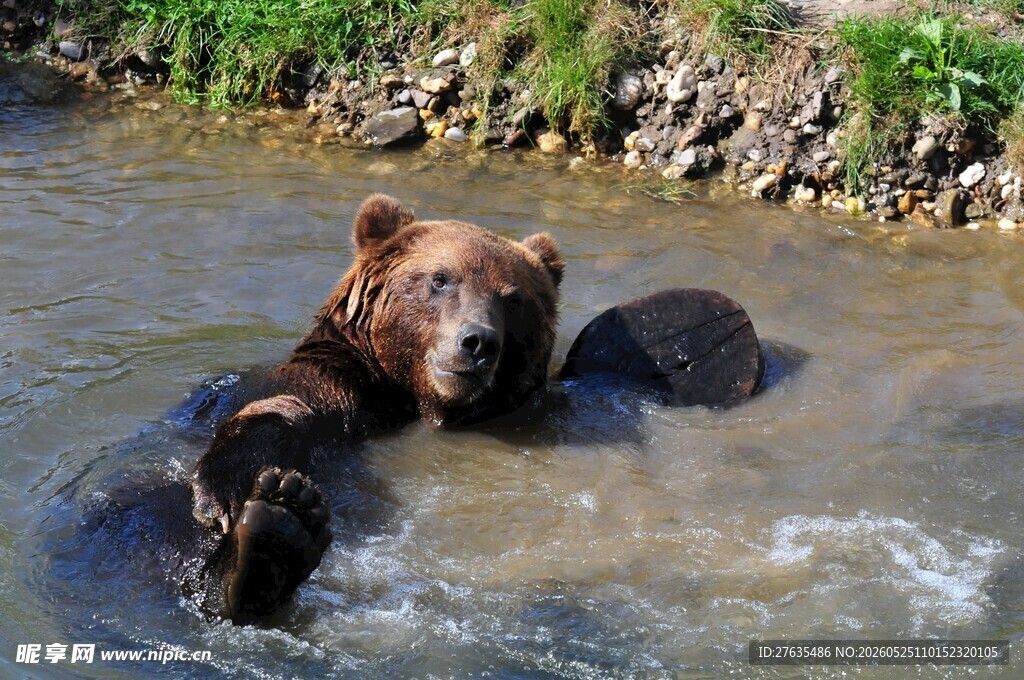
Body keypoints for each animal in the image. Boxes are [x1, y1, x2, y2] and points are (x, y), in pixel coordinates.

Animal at [180, 193, 564, 620]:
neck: (414, 400)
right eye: (441, 279)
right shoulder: (337, 387)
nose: (478, 342)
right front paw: (224, 495)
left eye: (513, 299)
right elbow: (277, 409)